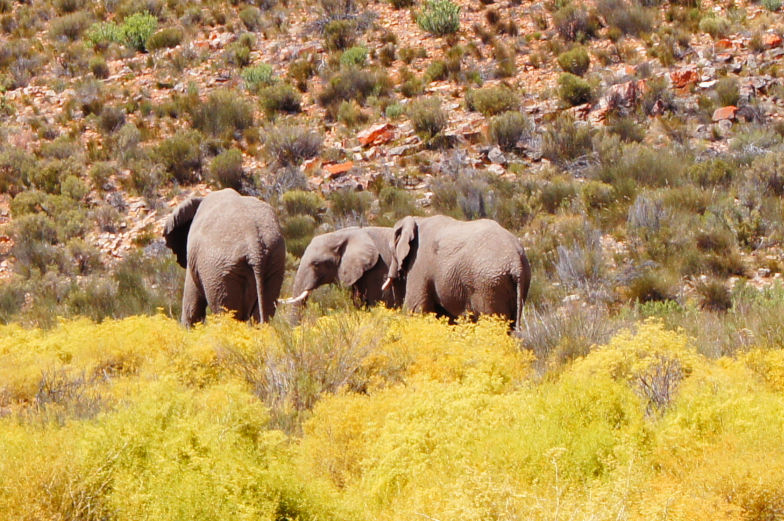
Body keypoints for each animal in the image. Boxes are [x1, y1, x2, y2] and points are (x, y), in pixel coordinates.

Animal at [382, 213, 528, 328]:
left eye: (391, 249)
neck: (418, 219)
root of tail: (516, 261)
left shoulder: (419, 262)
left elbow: (415, 307)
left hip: (488, 284)